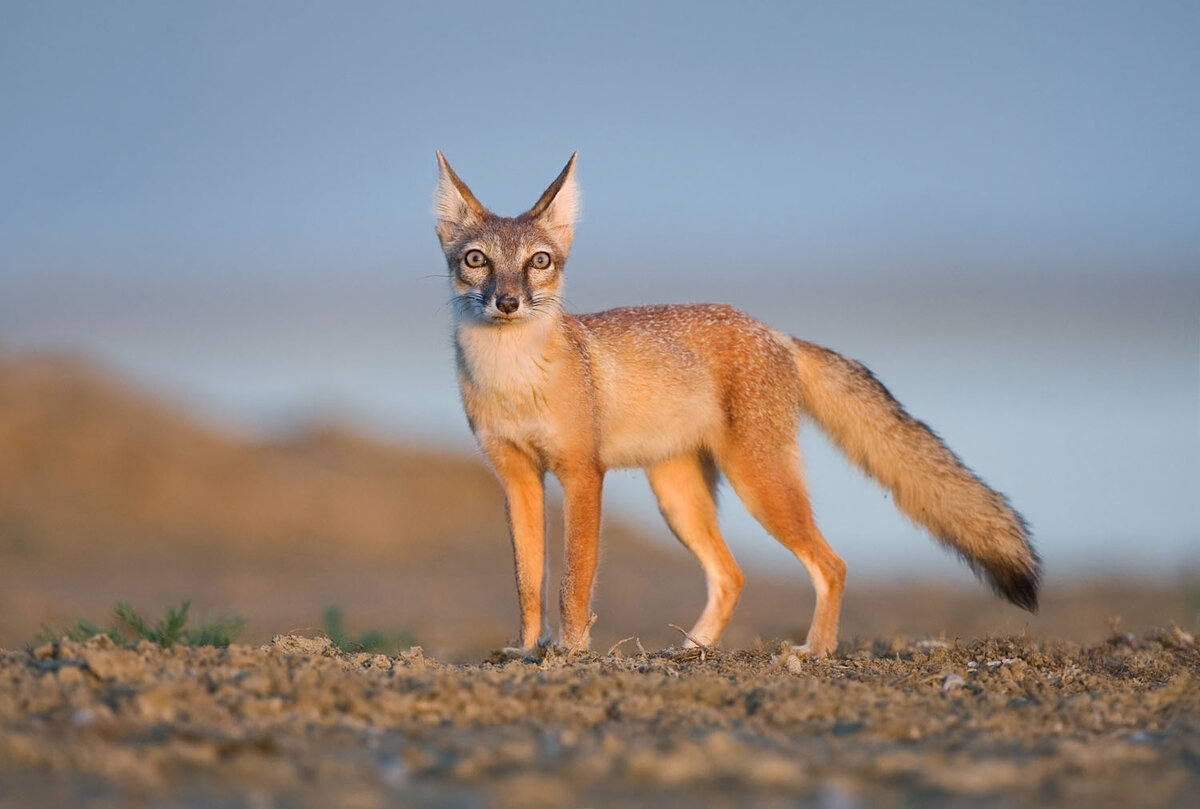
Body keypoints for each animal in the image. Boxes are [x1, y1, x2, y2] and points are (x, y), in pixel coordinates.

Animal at [434, 151, 1041, 652]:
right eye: (476, 260)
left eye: (539, 262)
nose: (508, 302)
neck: (513, 382)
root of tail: (778, 334)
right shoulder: (517, 478)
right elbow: (527, 583)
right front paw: (524, 650)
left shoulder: (583, 474)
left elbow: (573, 581)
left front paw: (569, 651)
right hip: (679, 498)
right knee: (732, 576)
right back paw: (692, 650)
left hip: (760, 484)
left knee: (832, 565)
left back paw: (813, 651)